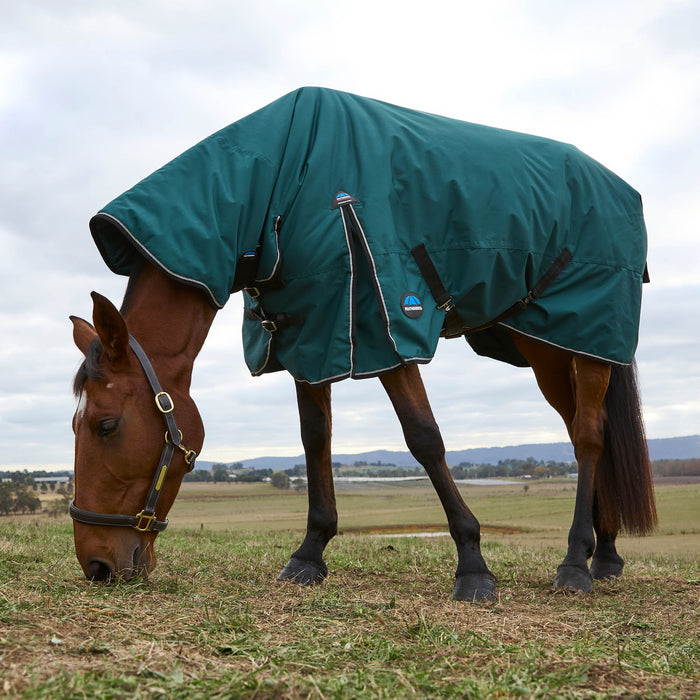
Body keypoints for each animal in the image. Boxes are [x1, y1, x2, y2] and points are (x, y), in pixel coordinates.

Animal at [70, 88, 656, 601]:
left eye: (106, 425)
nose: (96, 565)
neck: (279, 183)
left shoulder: (385, 327)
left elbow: (424, 438)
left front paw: (472, 566)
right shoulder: (310, 336)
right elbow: (316, 440)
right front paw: (309, 554)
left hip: (585, 338)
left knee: (588, 437)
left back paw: (575, 564)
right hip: (548, 345)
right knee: (586, 430)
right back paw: (604, 555)